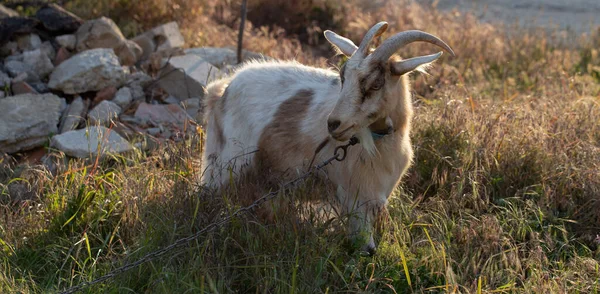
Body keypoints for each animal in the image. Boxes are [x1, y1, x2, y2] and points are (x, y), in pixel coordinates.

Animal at [199, 21, 452, 254]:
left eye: (376, 84)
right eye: (342, 77)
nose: (333, 124)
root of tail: (222, 89)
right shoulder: (354, 198)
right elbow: (364, 246)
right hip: (226, 163)